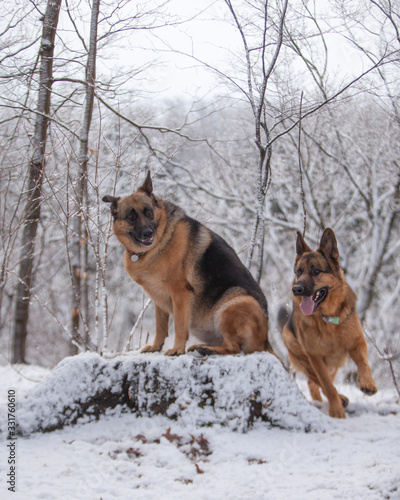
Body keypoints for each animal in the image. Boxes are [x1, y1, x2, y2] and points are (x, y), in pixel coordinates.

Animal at [102, 172, 276, 356]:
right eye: (131, 216)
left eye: (148, 211)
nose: (148, 233)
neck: (161, 241)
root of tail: (265, 342)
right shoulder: (158, 299)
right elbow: (161, 326)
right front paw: (156, 346)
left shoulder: (180, 294)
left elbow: (179, 326)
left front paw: (177, 349)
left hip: (234, 303)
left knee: (233, 348)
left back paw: (206, 349)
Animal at [280, 229, 376, 416]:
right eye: (298, 272)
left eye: (316, 271)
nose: (296, 289)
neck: (327, 317)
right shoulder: (315, 357)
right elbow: (327, 386)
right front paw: (336, 410)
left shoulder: (357, 342)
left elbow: (363, 362)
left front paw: (368, 383)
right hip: (305, 359)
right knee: (315, 381)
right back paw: (339, 399)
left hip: (334, 363)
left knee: (315, 382)